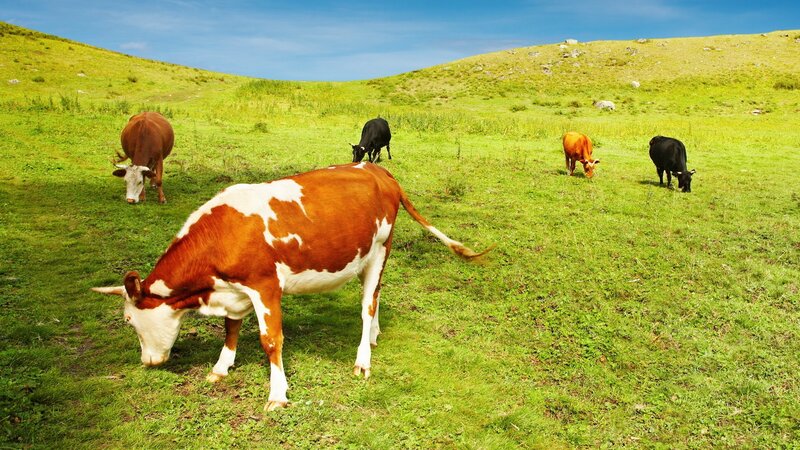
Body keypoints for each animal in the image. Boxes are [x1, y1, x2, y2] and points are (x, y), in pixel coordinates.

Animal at [92, 163, 492, 411]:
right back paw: (376, 335)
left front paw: (278, 395)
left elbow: (271, 341)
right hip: (367, 256)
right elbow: (231, 328)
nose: (148, 361)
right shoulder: (234, 290)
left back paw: (363, 359)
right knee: (377, 294)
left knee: (367, 305)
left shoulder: (265, 285)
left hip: (382, 247)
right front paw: (221, 368)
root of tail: (379, 171)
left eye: (130, 321)